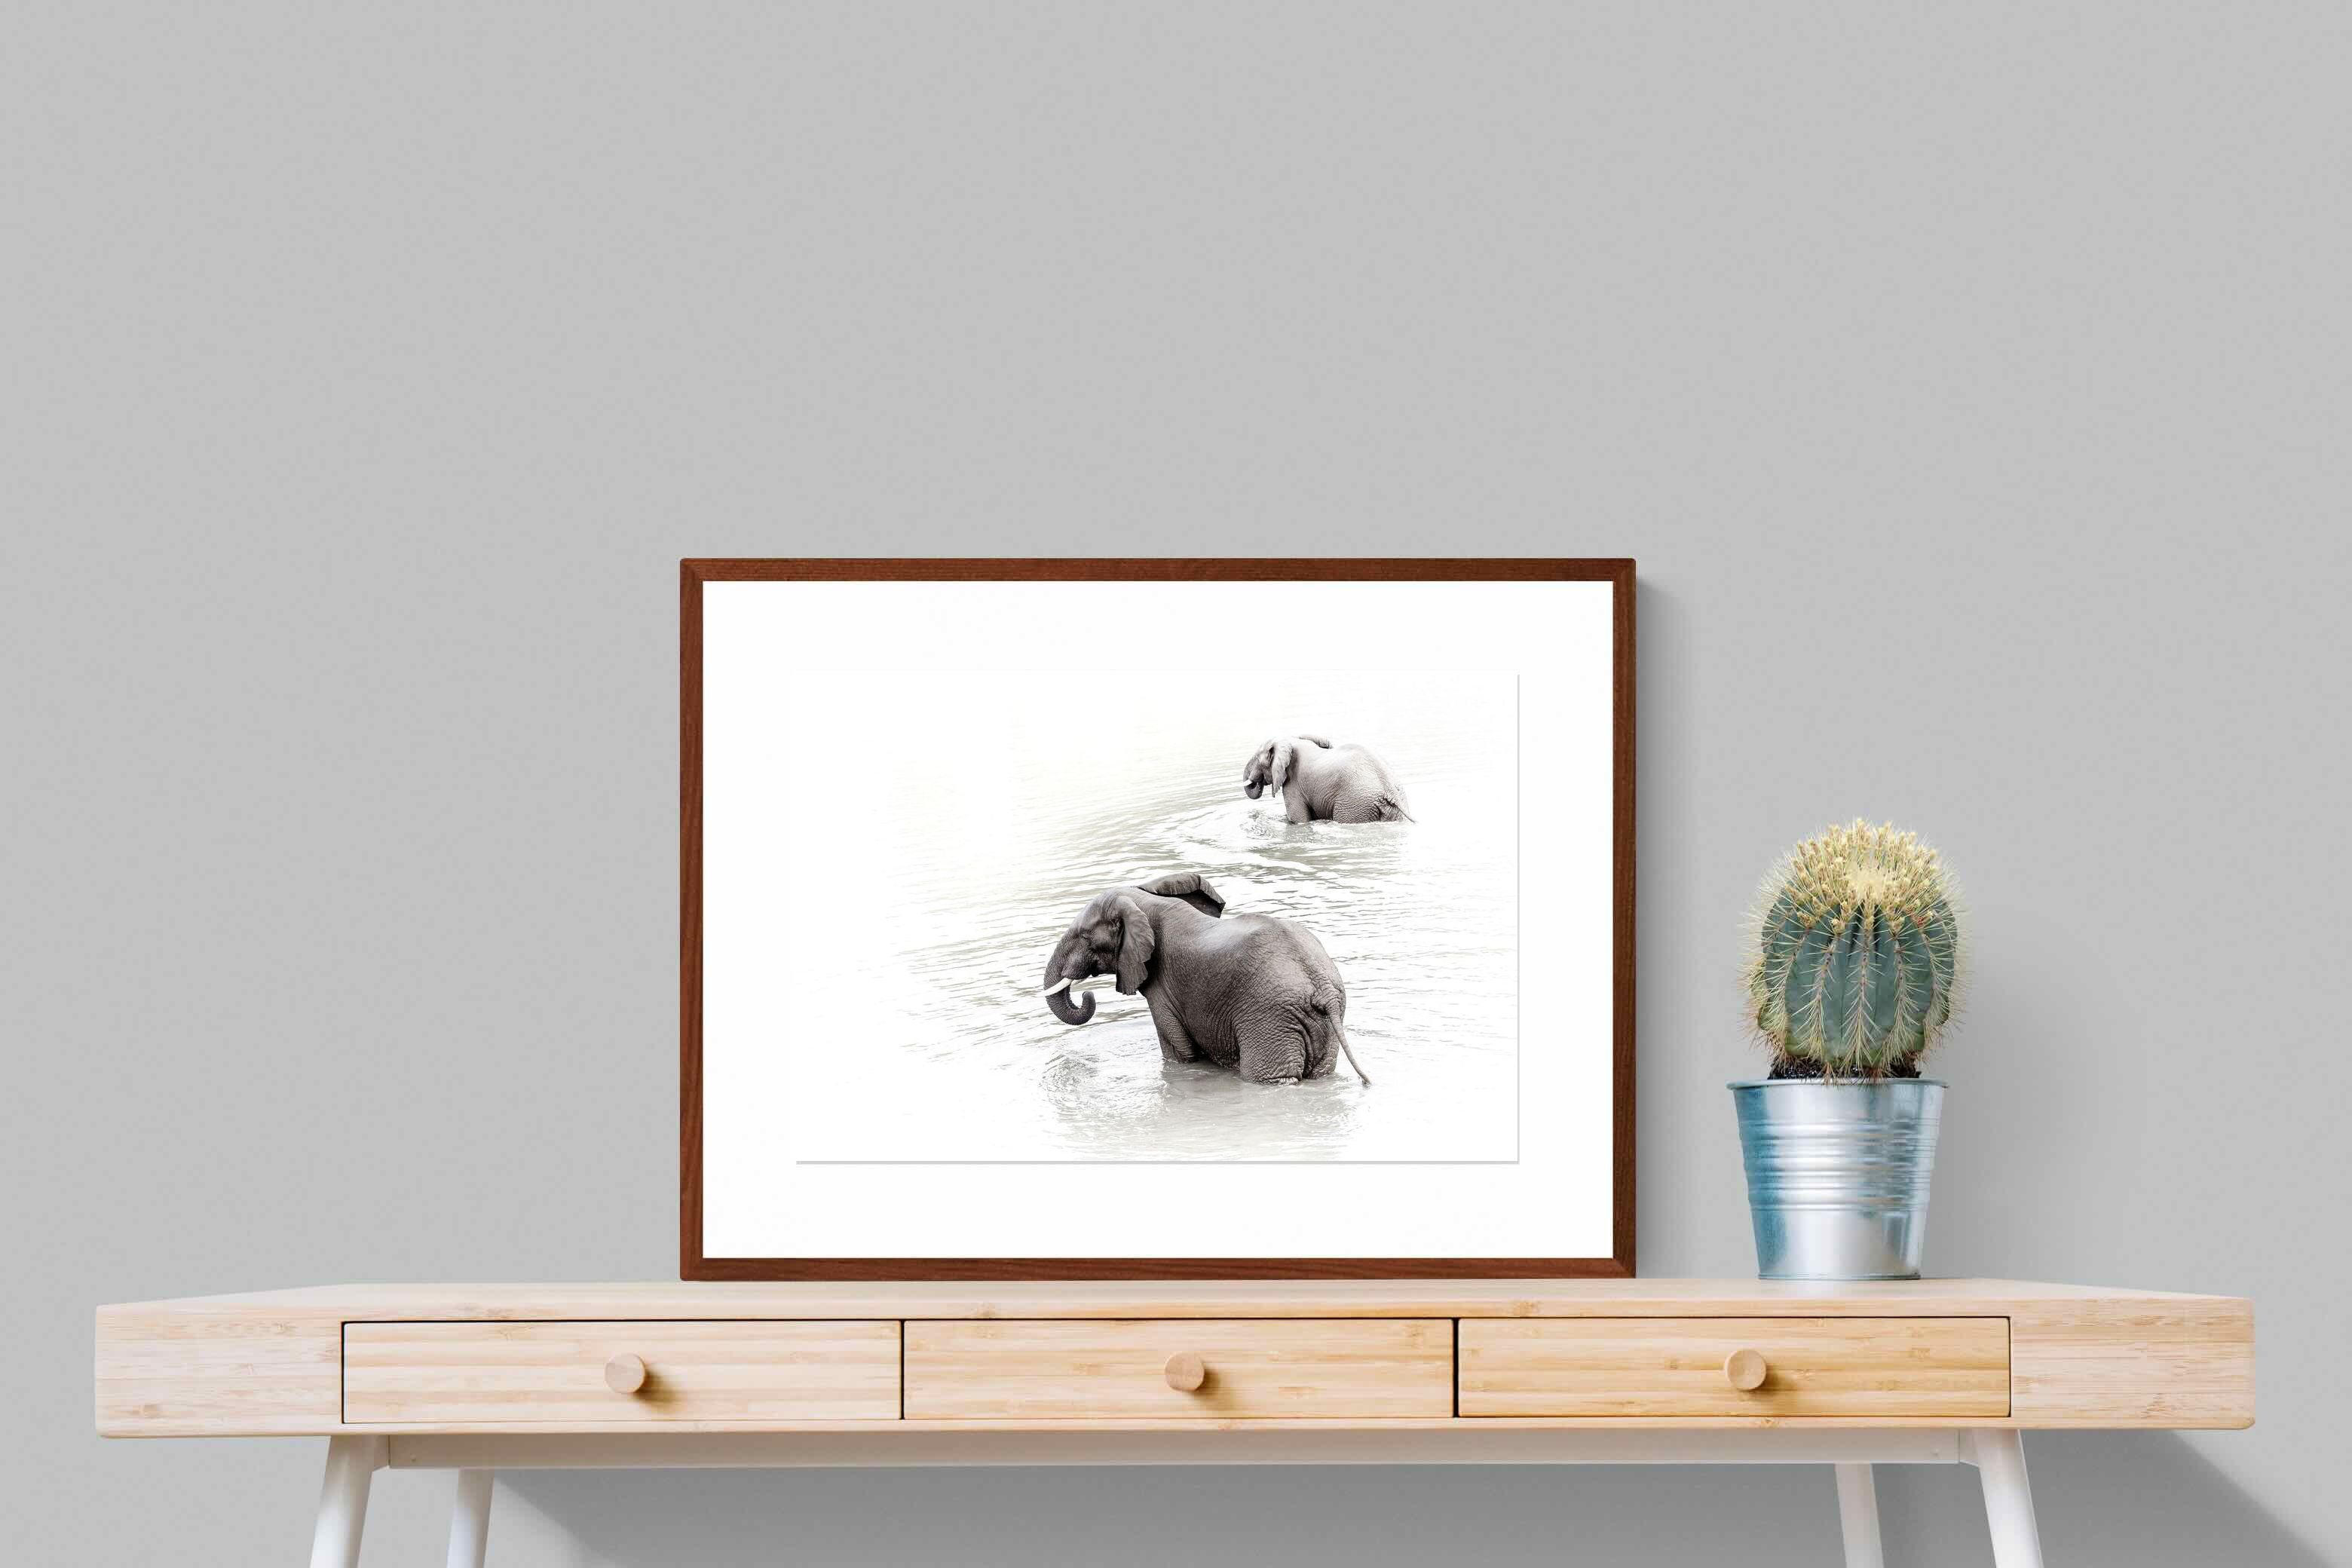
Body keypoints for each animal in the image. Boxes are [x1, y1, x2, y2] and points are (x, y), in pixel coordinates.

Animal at [1038, 872, 1370, 1085]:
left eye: (1085, 937)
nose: (1087, 994)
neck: (1145, 902)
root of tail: (1321, 987)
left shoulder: (1163, 988)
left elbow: (1178, 1053)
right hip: (1321, 1023)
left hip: (1270, 1019)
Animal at [1242, 734, 1412, 823]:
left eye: (1257, 758)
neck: (1290, 740)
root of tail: (1390, 792)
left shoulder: (1293, 784)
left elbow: (1298, 820)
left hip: (1355, 804)